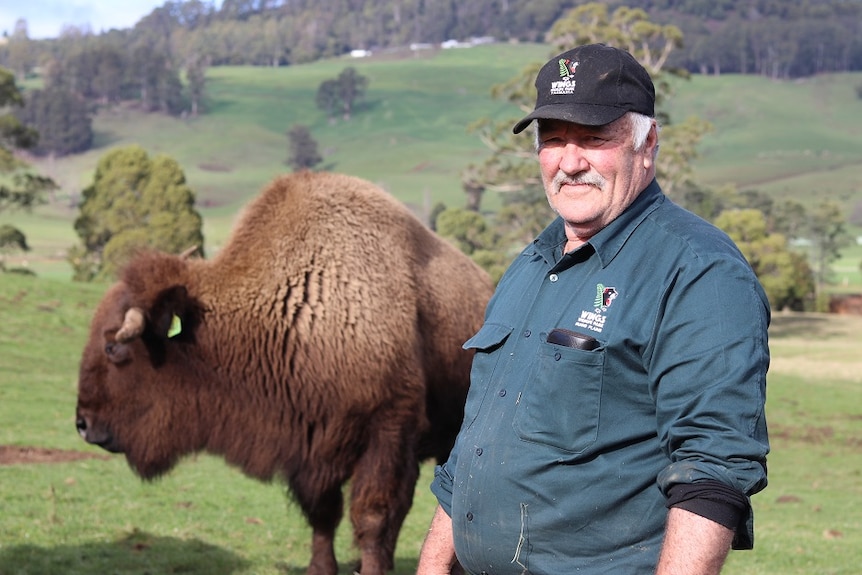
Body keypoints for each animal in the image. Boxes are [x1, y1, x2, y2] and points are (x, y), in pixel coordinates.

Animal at [76, 172, 492, 575]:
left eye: (113, 347)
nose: (83, 424)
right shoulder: (311, 448)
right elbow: (323, 514)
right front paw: (320, 569)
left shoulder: (386, 433)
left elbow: (372, 515)